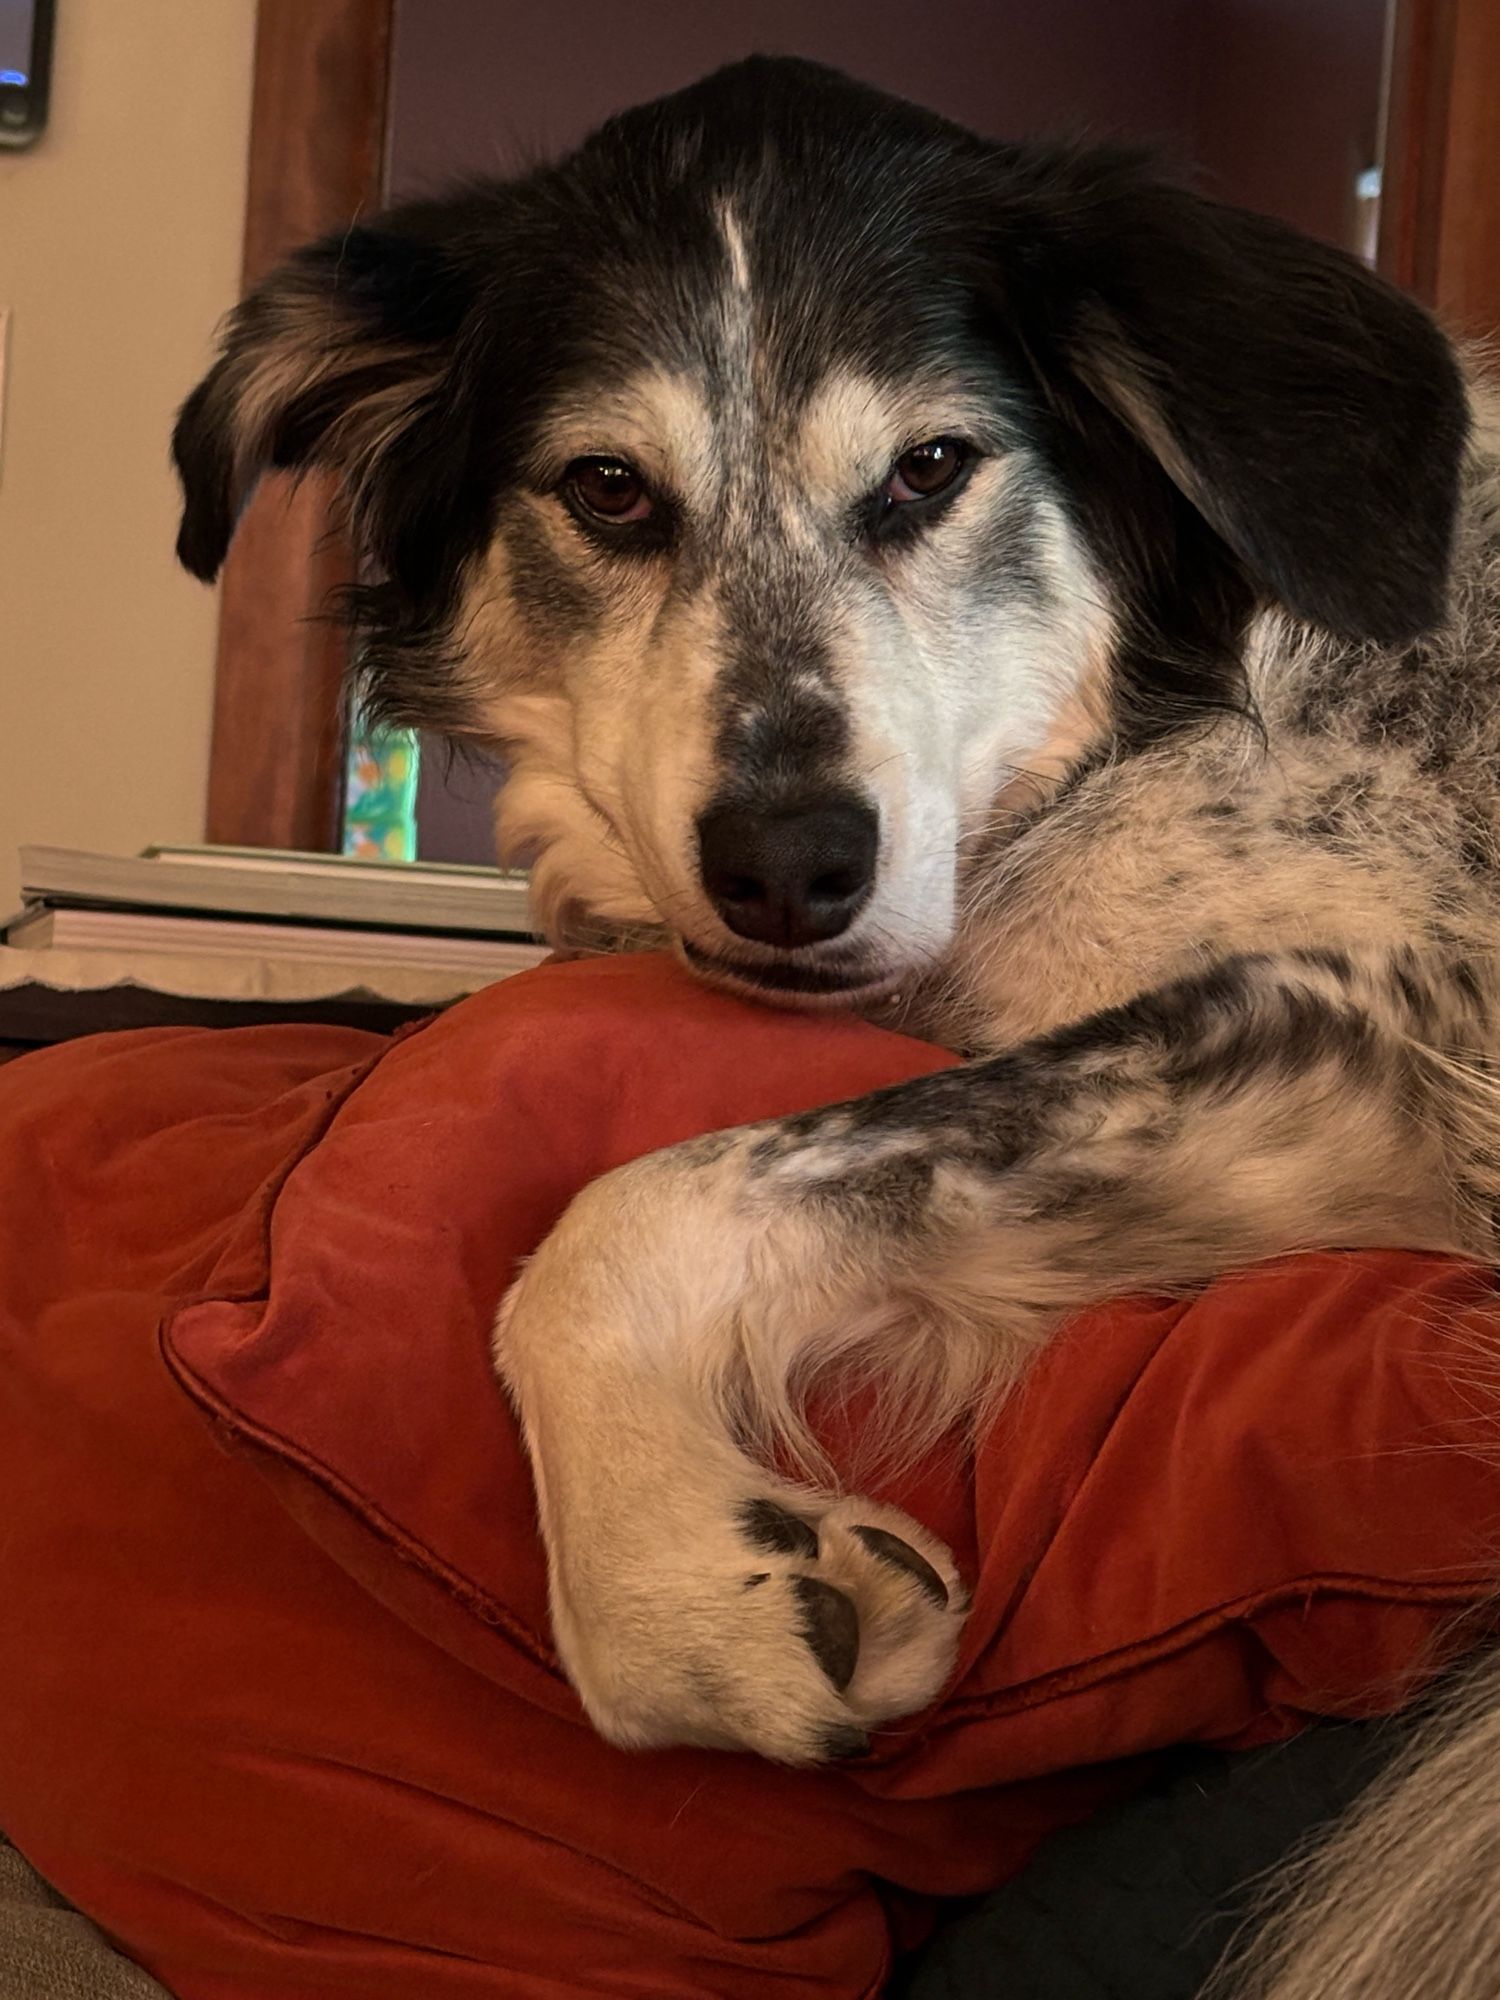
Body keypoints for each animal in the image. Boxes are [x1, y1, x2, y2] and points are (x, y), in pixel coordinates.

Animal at [170, 54, 1496, 1832]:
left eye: (930, 467)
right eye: (608, 488)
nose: (789, 868)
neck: (1140, 734)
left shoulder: (1391, 1015)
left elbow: (630, 1205)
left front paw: (670, 1586)